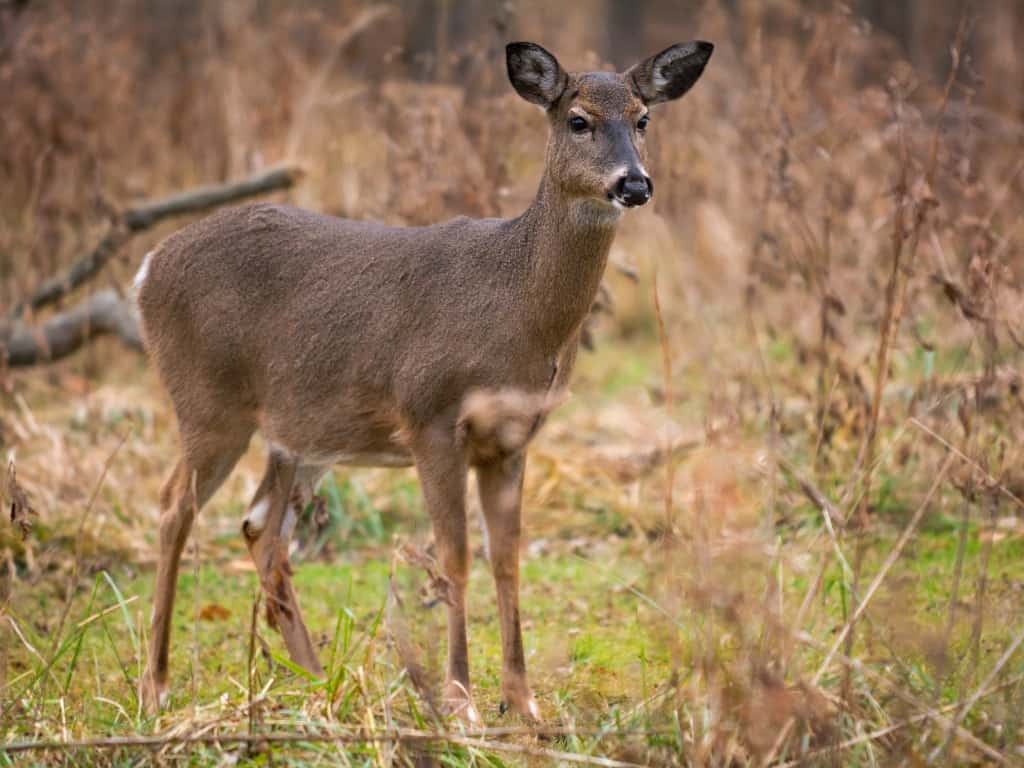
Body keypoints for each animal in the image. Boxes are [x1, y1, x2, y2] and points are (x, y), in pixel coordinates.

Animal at [136, 39, 712, 724]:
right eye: (578, 119)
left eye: (643, 117)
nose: (634, 183)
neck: (517, 308)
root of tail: (146, 271)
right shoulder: (430, 417)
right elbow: (454, 557)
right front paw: (461, 700)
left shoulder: (512, 437)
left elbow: (506, 559)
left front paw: (523, 702)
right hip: (207, 399)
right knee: (174, 504)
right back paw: (157, 685)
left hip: (301, 431)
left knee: (261, 526)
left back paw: (313, 679)